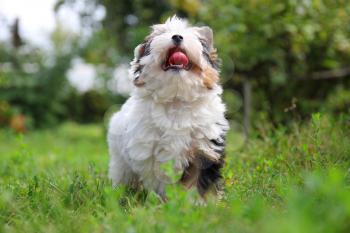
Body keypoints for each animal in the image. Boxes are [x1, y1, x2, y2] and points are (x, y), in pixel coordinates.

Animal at [108, 15, 228, 200]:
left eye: (192, 37)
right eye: (161, 34)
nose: (177, 37)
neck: (176, 98)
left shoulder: (205, 148)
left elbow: (198, 179)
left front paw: (199, 203)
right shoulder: (149, 152)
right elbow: (158, 179)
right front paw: (164, 201)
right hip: (119, 158)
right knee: (124, 174)